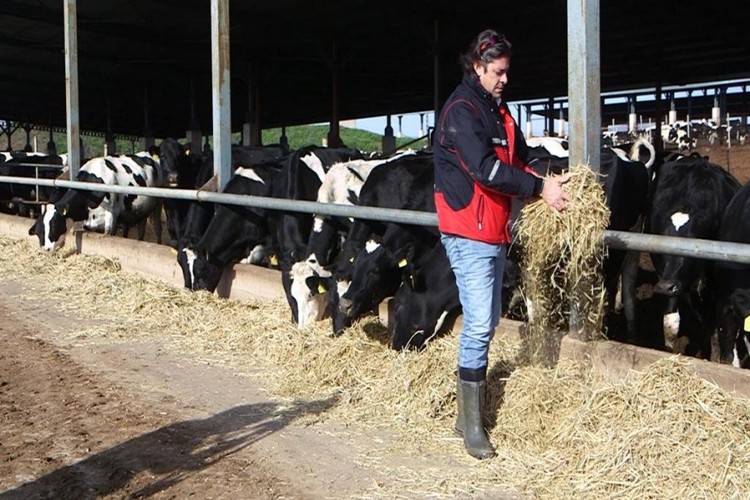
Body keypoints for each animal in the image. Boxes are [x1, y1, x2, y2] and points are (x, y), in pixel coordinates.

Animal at [28, 148, 164, 250]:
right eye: (39, 231)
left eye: (54, 224)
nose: (46, 249)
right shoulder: (88, 222)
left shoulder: (111, 215)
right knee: (139, 226)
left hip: (158, 204)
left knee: (158, 227)